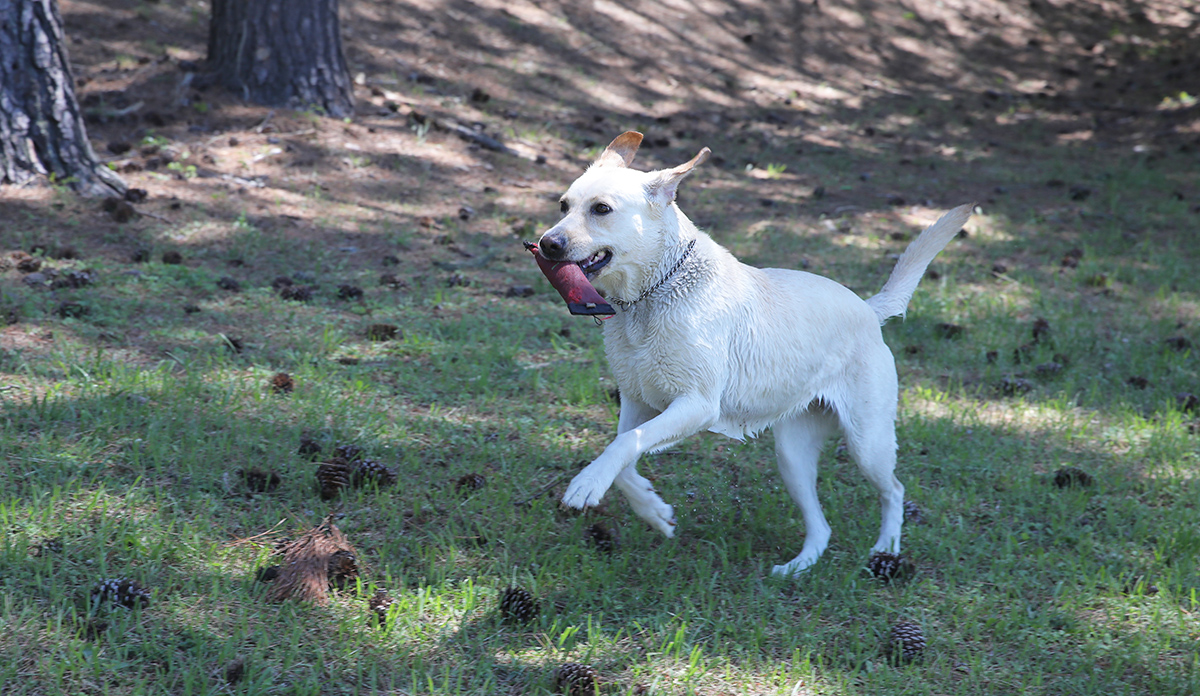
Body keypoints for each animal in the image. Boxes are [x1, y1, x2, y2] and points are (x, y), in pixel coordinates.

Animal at [538, 131, 972, 576]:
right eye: (564, 205)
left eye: (601, 209)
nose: (547, 243)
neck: (651, 295)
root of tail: (870, 310)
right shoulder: (637, 400)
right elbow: (623, 454)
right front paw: (654, 510)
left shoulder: (697, 404)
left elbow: (624, 445)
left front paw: (588, 484)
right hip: (792, 455)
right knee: (821, 526)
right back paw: (797, 567)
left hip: (869, 441)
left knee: (894, 490)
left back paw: (886, 549)